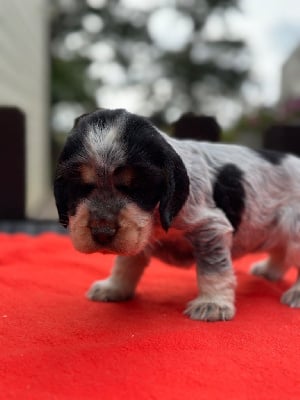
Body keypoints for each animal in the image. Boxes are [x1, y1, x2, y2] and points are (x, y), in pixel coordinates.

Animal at [53, 108, 300, 320]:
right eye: (79, 186)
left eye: (138, 187)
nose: (102, 233)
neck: (156, 218)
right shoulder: (137, 232)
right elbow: (126, 262)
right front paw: (113, 288)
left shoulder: (210, 228)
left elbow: (213, 269)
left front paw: (212, 304)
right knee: (280, 251)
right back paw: (268, 271)